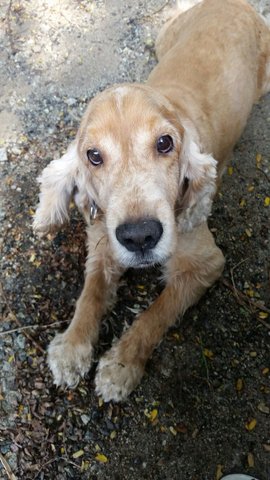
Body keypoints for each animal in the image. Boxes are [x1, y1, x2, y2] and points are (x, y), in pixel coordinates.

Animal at [32, 0, 270, 402]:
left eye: (165, 143)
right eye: (93, 155)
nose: (140, 236)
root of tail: (234, 3)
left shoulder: (207, 262)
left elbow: (156, 313)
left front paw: (121, 366)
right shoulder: (103, 241)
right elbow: (90, 294)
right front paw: (72, 348)